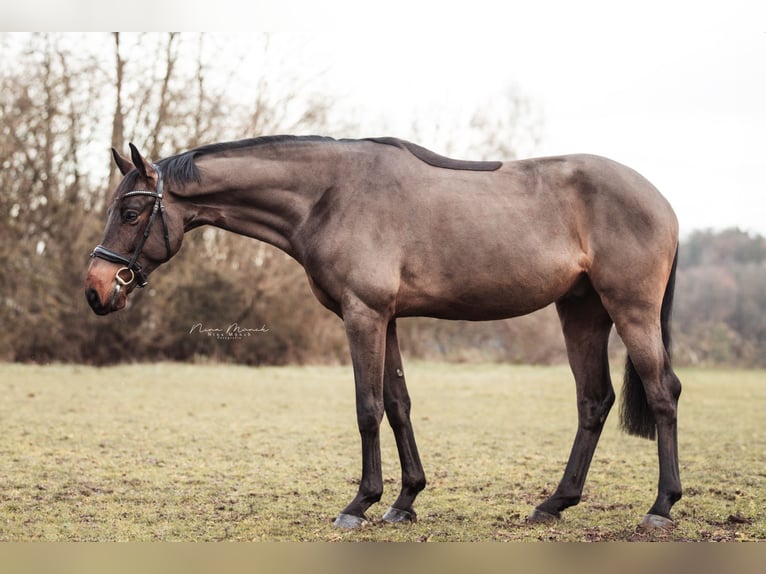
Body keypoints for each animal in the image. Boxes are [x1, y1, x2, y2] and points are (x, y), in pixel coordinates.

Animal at [85, 135, 684, 532]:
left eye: (132, 212)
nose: (96, 289)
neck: (329, 194)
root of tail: (662, 201)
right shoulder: (387, 318)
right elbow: (398, 403)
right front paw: (405, 500)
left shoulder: (363, 314)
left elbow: (368, 408)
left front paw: (361, 504)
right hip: (581, 311)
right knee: (594, 400)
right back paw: (555, 503)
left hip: (630, 309)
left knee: (662, 393)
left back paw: (660, 507)